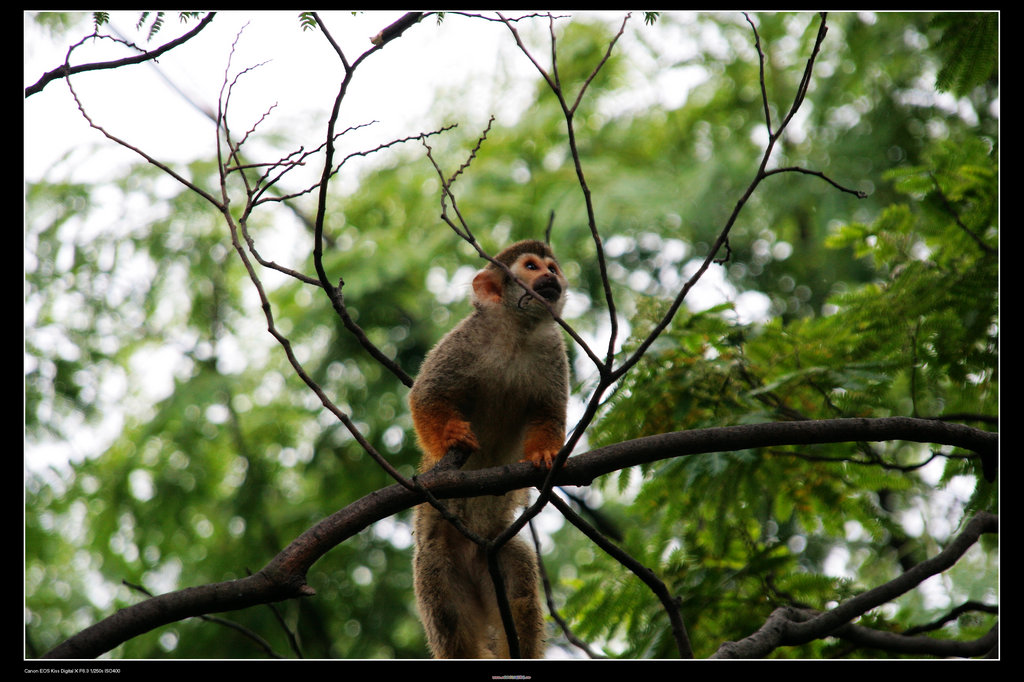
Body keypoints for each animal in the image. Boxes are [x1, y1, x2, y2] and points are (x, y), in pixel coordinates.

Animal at [407, 240, 569, 659]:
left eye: (552, 268)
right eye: (531, 267)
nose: (551, 278)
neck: (516, 332)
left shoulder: (553, 349)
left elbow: (549, 413)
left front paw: (544, 455)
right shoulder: (466, 337)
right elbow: (426, 395)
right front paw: (452, 437)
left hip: (498, 549)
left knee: (520, 594)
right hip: (436, 556)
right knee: (447, 616)